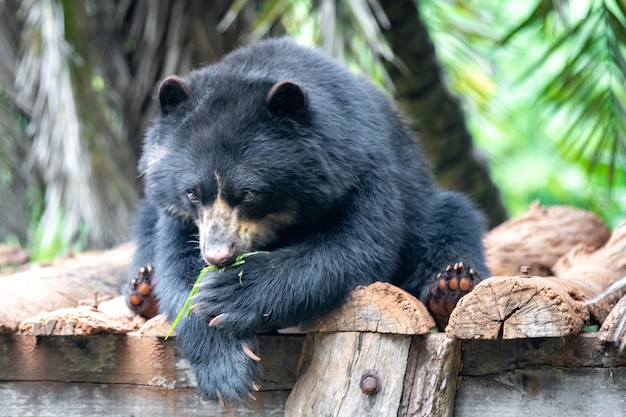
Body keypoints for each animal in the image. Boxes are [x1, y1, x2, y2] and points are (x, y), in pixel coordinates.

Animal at [125, 36, 488, 404]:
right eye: (192, 193)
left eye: (249, 194)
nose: (218, 255)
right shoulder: (180, 216)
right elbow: (179, 267)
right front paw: (228, 371)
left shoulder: (361, 164)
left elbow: (355, 245)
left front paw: (227, 293)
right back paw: (144, 291)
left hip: (426, 207)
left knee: (451, 220)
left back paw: (450, 287)